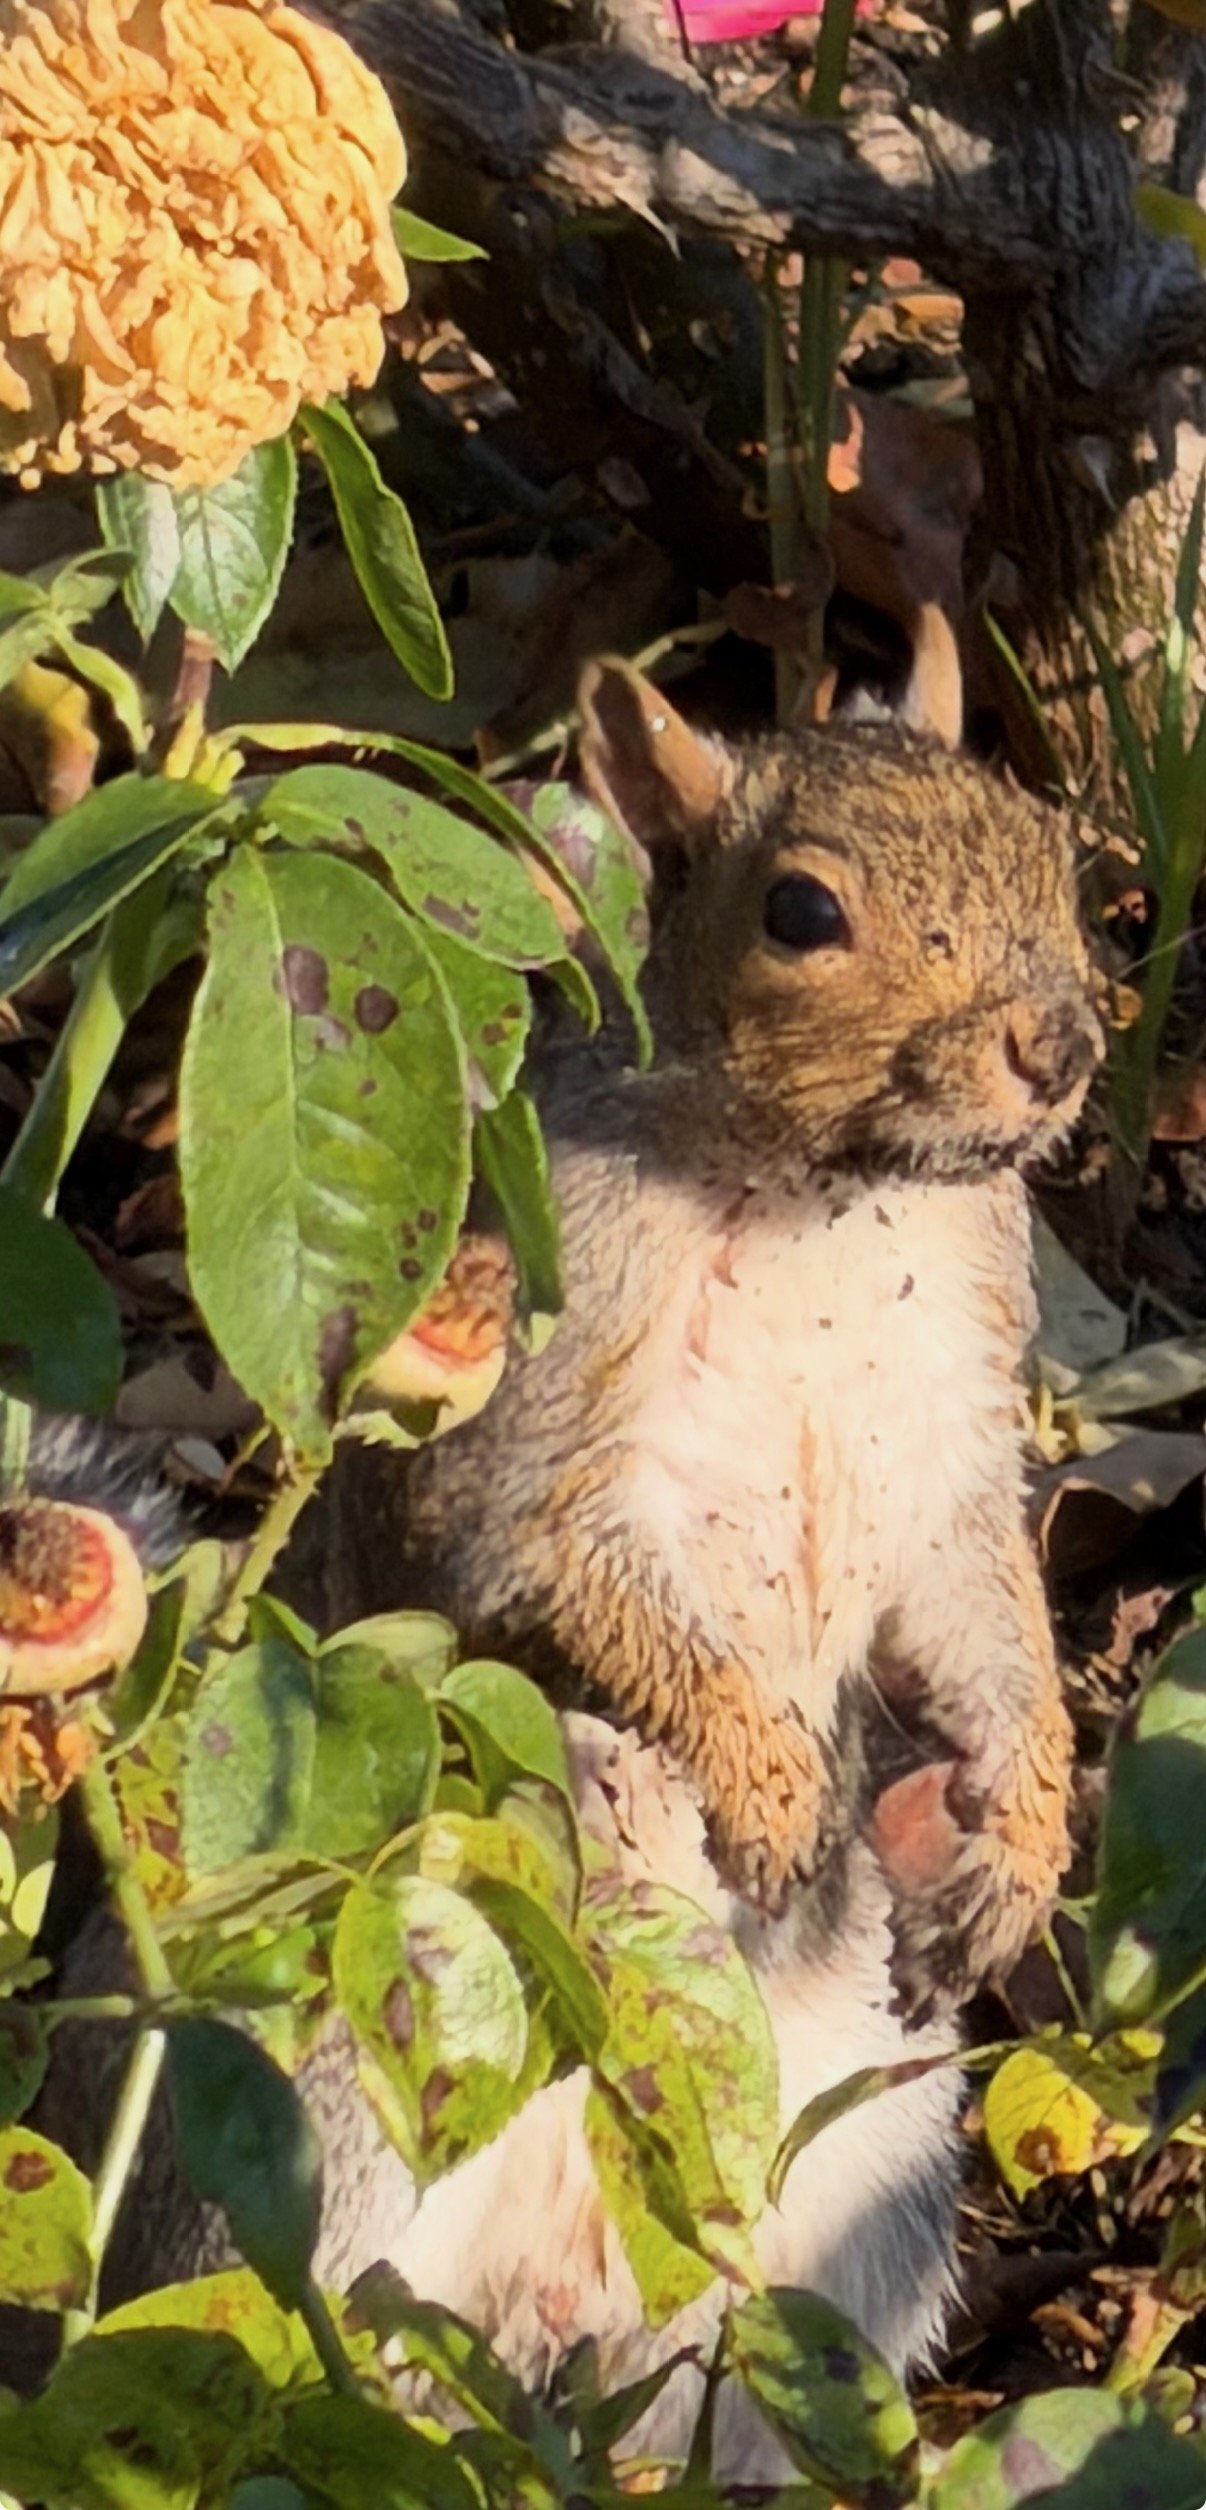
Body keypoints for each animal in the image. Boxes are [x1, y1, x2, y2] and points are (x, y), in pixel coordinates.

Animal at [330, 656, 1104, 2013]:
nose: (1054, 1046)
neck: (822, 1203)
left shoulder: (955, 1394)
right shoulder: (562, 1324)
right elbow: (552, 1549)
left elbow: (981, 1588)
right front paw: (769, 1784)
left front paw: (1023, 1829)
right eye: (799, 911)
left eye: (1050, 852)